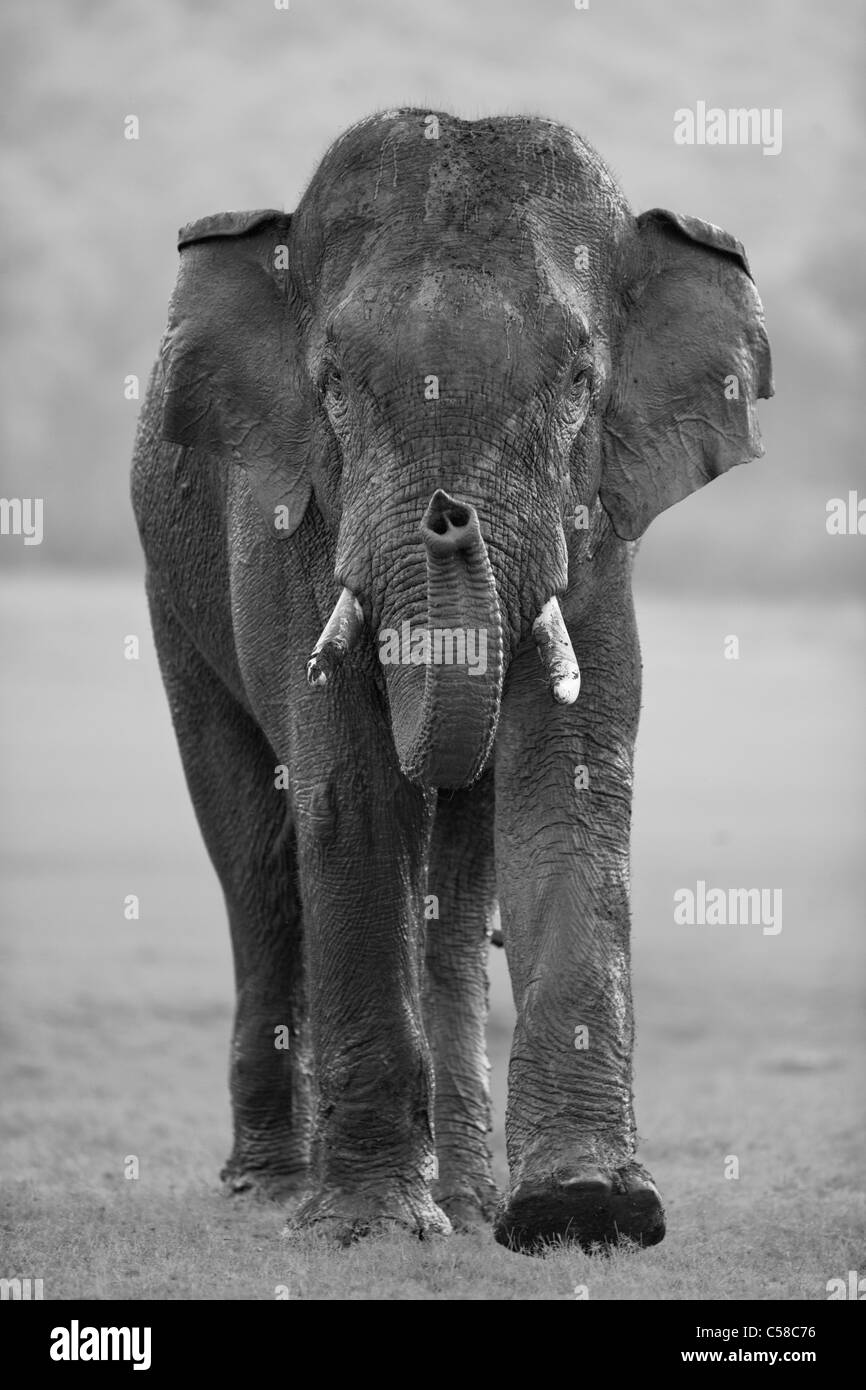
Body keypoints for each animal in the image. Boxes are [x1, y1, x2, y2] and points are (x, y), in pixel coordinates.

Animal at [134, 108, 772, 1256]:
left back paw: (466, 1199)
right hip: (174, 588)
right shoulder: (285, 513)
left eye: (579, 383)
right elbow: (347, 792)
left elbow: (565, 785)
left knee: (456, 873)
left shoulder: (595, 530)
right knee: (257, 858)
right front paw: (368, 1230)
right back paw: (273, 1191)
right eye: (333, 383)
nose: (448, 516)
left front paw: (586, 1213)